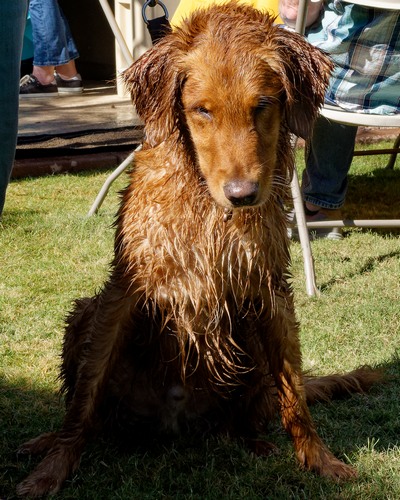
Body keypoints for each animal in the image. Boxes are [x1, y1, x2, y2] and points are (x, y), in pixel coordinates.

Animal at [17, 3, 381, 496]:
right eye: (201, 110)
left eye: (262, 106)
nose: (243, 195)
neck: (209, 207)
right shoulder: (123, 290)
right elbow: (84, 400)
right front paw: (53, 467)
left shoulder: (270, 289)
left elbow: (294, 395)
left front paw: (320, 460)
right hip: (84, 313)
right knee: (96, 413)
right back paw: (47, 440)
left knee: (256, 410)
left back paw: (253, 441)